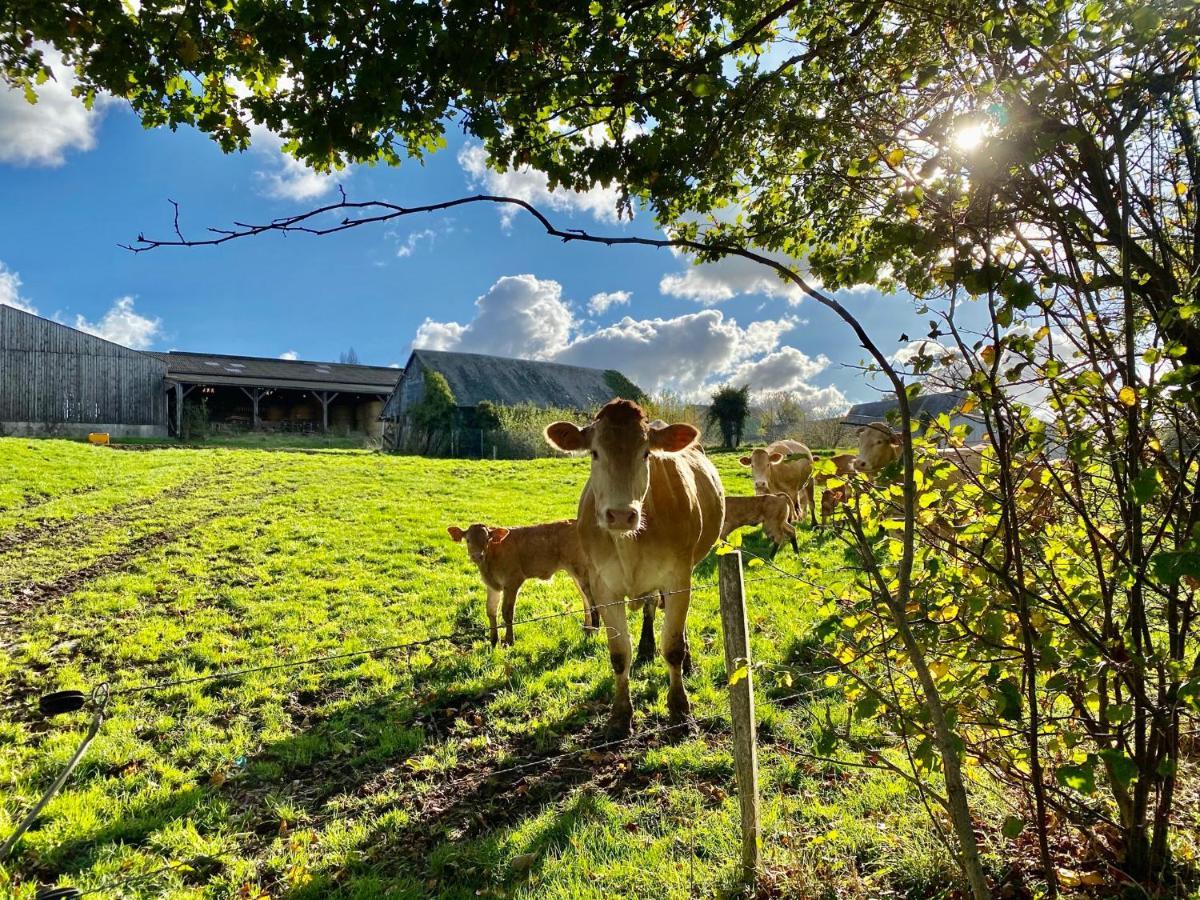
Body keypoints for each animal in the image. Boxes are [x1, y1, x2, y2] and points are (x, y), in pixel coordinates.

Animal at [448, 520, 597, 648]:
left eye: (487, 540)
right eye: (468, 540)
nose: (477, 556)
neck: (490, 558)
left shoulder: (513, 581)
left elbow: (507, 612)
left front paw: (509, 641)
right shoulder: (492, 585)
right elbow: (491, 610)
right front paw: (493, 641)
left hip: (582, 570)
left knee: (591, 599)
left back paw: (595, 630)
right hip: (575, 573)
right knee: (585, 599)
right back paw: (587, 629)